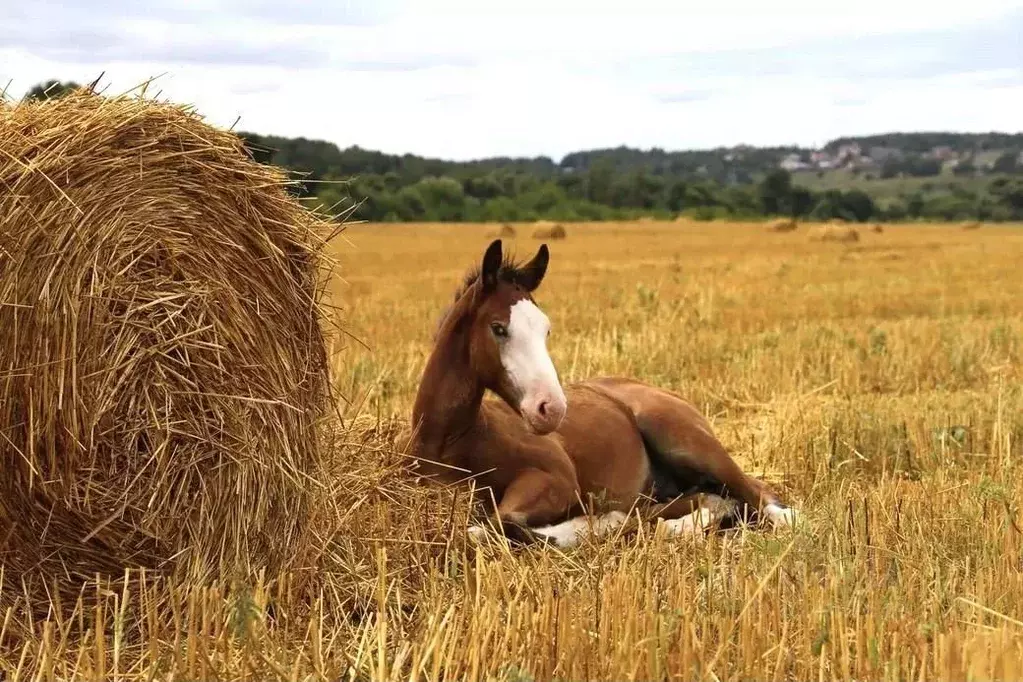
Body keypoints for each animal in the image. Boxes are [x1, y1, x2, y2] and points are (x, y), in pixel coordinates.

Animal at [403, 240, 793, 548]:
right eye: (498, 328)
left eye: (546, 330)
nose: (552, 408)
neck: (453, 440)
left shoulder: (556, 478)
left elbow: (494, 525)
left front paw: (585, 527)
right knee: (708, 500)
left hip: (686, 441)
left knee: (765, 500)